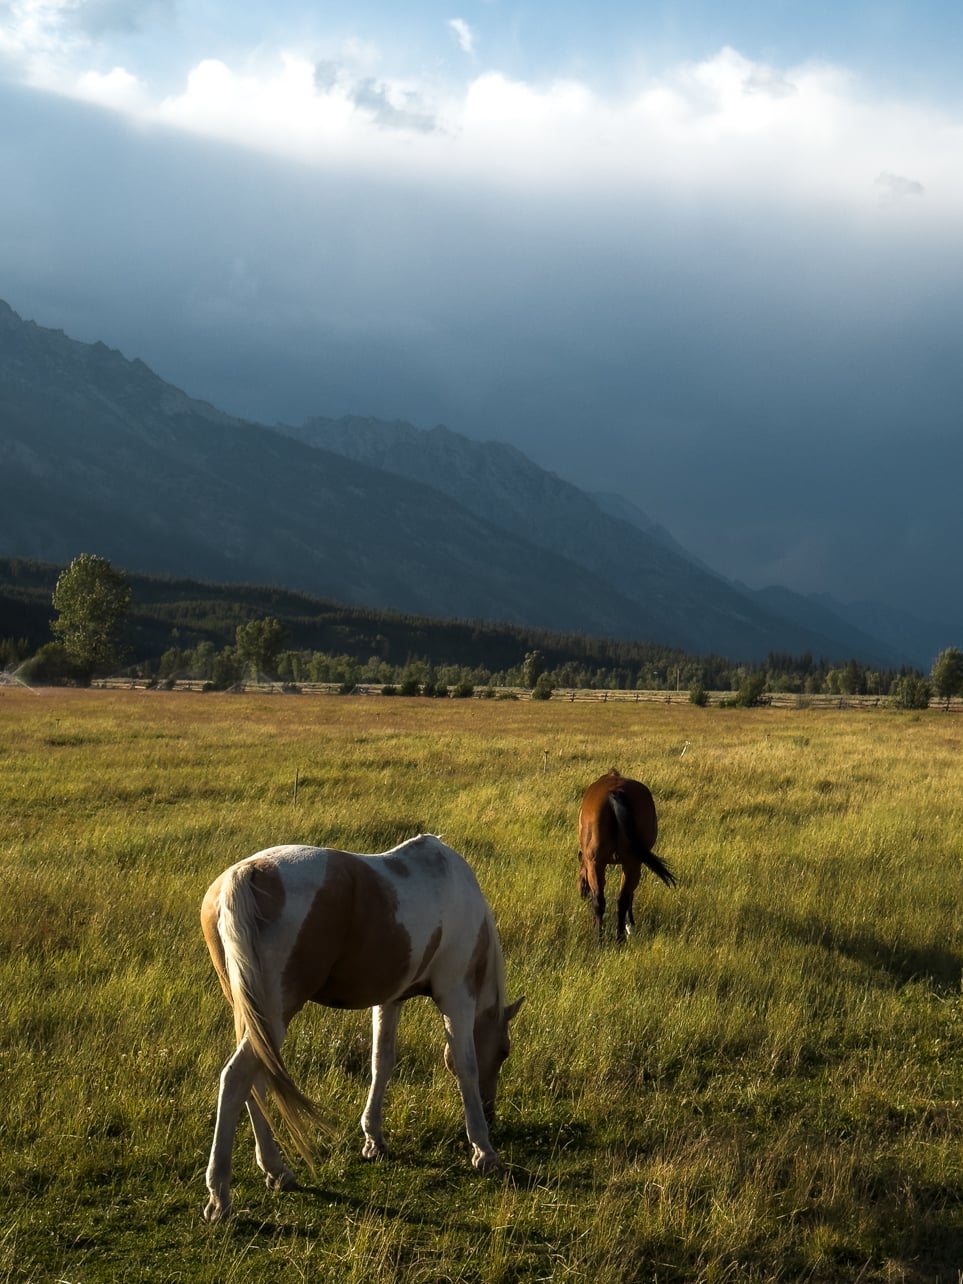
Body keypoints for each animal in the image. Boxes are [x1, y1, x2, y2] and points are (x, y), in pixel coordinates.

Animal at [200, 834, 524, 1223]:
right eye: (504, 1052)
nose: (490, 1112)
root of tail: (248, 873)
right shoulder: (457, 995)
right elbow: (466, 1067)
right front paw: (484, 1150)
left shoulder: (390, 999)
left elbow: (381, 1062)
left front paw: (374, 1140)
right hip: (274, 1014)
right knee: (236, 1078)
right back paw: (220, 1195)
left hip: (253, 1016)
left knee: (255, 1082)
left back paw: (276, 1171)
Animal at [577, 768, 676, 943]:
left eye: (581, 879)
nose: (581, 895)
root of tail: (615, 793)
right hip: (629, 862)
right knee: (618, 900)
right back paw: (618, 938)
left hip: (600, 863)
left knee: (602, 901)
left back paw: (601, 939)